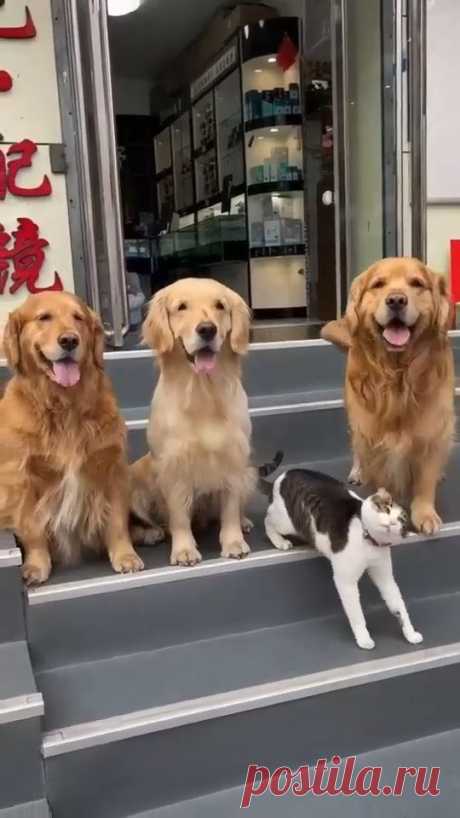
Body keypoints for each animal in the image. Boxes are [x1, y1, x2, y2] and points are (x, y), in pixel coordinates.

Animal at [0, 290, 144, 584]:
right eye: (44, 317)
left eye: (78, 317)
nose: (69, 340)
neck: (64, 405)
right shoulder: (24, 479)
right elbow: (33, 528)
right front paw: (36, 565)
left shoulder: (112, 467)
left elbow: (117, 521)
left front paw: (125, 556)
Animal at [128, 278, 255, 564]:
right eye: (181, 307)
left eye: (220, 305)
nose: (207, 329)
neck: (202, 393)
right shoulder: (174, 465)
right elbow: (178, 517)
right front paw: (184, 549)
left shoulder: (234, 458)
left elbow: (230, 508)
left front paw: (233, 541)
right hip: (137, 477)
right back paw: (153, 533)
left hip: (249, 472)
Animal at [258, 452, 424, 652]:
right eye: (386, 508)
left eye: (401, 522)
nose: (391, 523)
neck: (369, 540)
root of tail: (281, 477)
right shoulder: (345, 581)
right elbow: (357, 614)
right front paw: (364, 639)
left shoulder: (384, 576)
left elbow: (398, 604)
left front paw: (410, 633)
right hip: (286, 521)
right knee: (268, 520)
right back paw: (280, 541)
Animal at [322, 258, 454, 532]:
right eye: (378, 284)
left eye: (417, 283)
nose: (396, 300)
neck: (398, 376)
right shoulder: (372, 432)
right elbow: (380, 477)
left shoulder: (433, 427)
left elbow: (425, 479)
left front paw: (425, 513)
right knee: (357, 447)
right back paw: (358, 471)